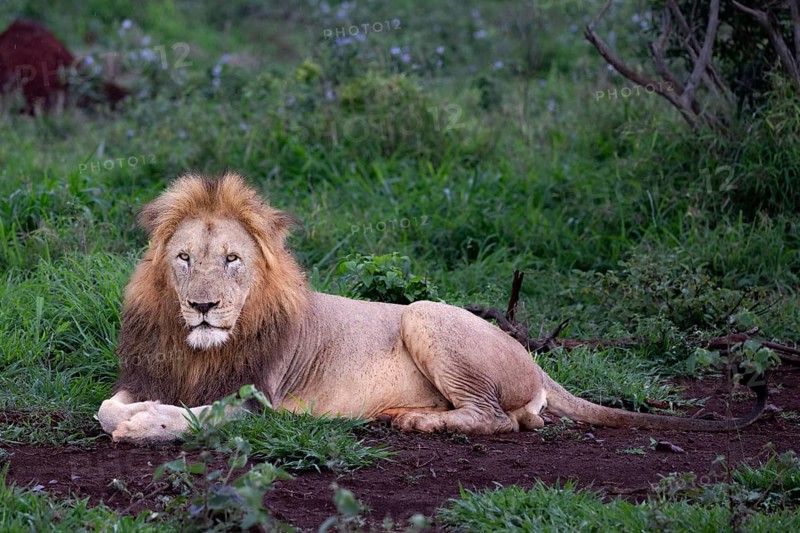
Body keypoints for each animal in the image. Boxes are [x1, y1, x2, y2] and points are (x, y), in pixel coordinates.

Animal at [97, 173, 767, 444]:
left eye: (233, 259)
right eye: (184, 258)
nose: (203, 306)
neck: (200, 349)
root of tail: (537, 360)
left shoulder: (261, 399)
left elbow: (196, 416)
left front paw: (148, 425)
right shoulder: (152, 372)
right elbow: (108, 407)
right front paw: (136, 413)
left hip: (423, 311)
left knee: (502, 420)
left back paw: (418, 423)